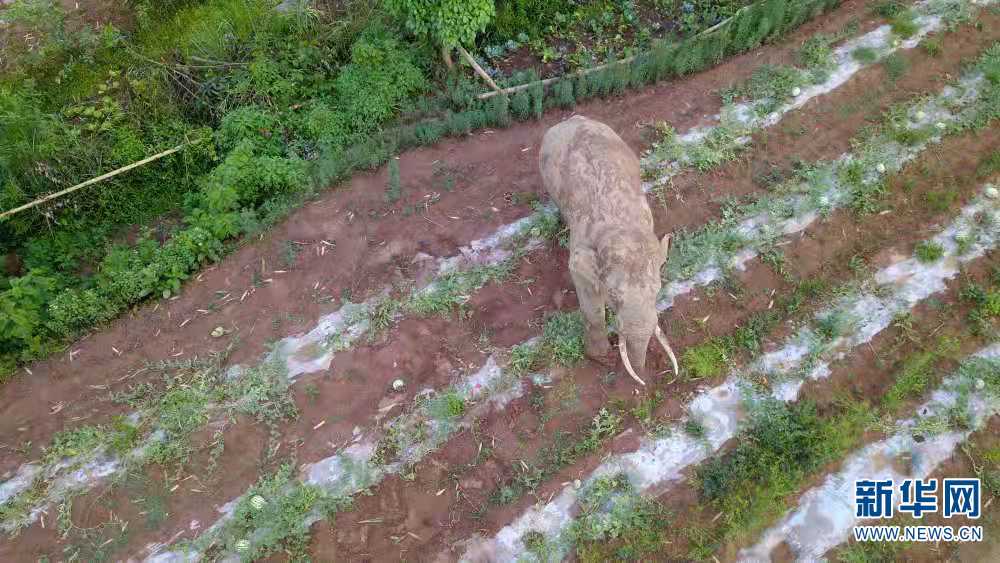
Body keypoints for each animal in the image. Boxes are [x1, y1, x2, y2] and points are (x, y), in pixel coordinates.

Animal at [540, 114, 680, 388]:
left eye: (657, 291)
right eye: (614, 296)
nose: (646, 381)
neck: (620, 227)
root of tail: (572, 118)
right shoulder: (581, 253)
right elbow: (589, 302)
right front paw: (601, 360)